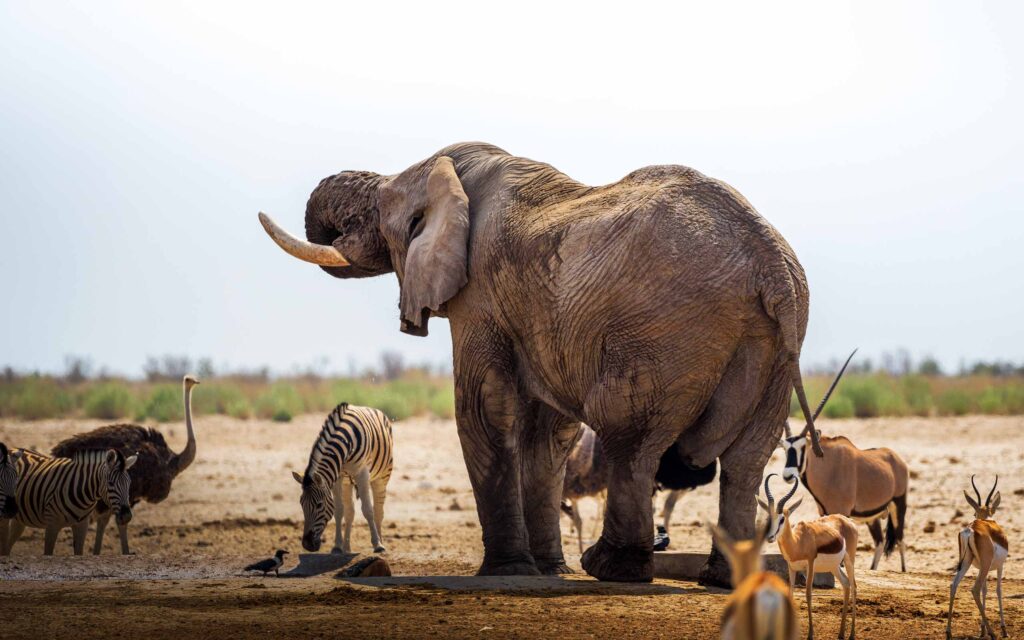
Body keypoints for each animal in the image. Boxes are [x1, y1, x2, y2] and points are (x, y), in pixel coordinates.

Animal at [7, 446, 138, 557]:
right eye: (110, 483)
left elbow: (78, 552)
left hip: (20, 519)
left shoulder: (82, 525)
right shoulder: (52, 525)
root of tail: (12, 448)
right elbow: (48, 552)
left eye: (129, 483)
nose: (127, 516)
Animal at [296, 401, 395, 552]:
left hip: (382, 476)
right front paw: (337, 546)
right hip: (347, 483)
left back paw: (380, 542)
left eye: (319, 505)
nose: (307, 545)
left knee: (378, 511)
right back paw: (347, 547)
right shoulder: (337, 477)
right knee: (350, 513)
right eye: (301, 504)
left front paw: (377, 544)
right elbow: (339, 511)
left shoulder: (362, 474)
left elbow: (368, 510)